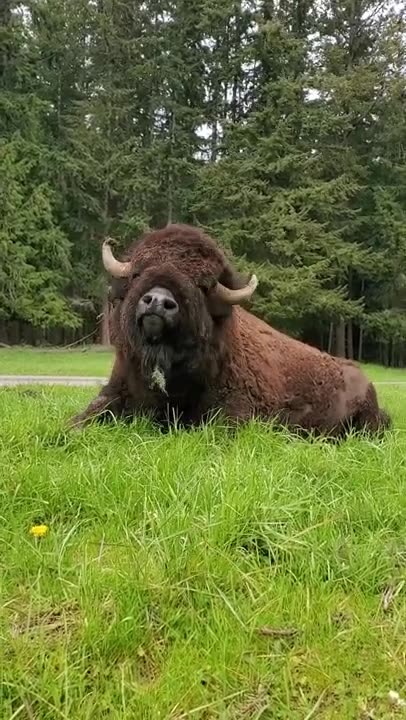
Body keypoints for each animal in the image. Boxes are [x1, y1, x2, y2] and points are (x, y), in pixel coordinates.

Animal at [70, 223, 391, 437]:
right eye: (139, 272)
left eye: (202, 286)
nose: (158, 302)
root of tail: (365, 380)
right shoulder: (116, 391)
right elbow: (83, 417)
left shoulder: (234, 413)